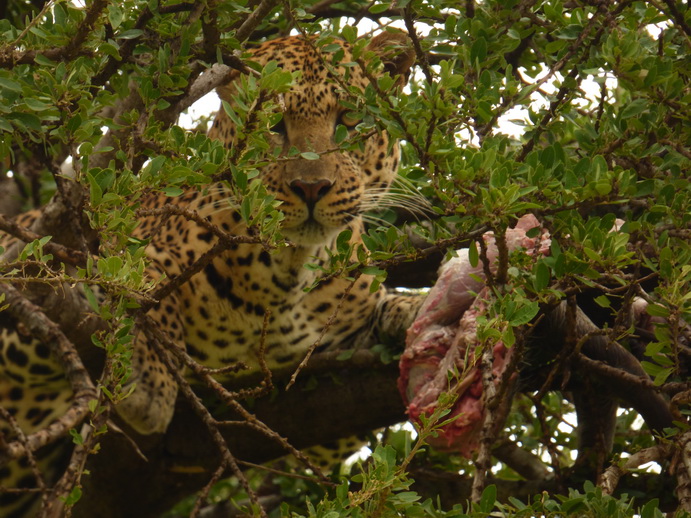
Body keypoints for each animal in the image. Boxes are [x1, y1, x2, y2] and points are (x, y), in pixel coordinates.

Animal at [0, 31, 422, 515]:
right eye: (273, 123)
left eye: (350, 119)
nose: (311, 187)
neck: (291, 272)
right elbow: (140, 281)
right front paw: (151, 382)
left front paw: (422, 312)